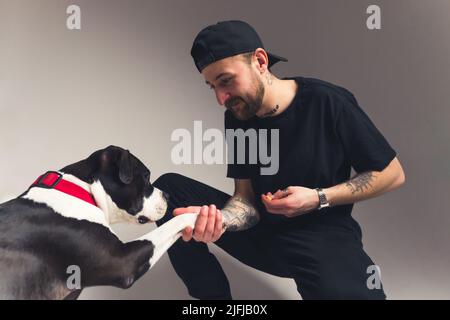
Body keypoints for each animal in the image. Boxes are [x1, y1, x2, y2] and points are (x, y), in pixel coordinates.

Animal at [0, 146, 197, 298]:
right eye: (146, 176)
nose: (168, 196)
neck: (82, 190)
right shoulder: (123, 262)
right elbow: (174, 222)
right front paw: (200, 213)